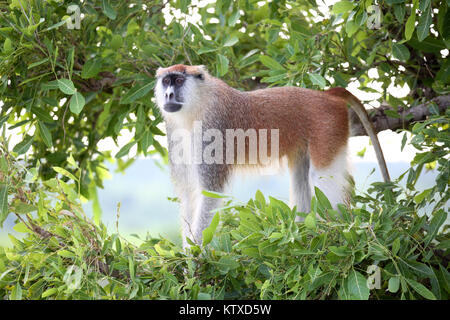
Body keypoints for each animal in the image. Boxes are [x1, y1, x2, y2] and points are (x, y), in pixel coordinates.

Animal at [153, 63, 388, 248]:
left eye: (179, 80)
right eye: (166, 81)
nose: (168, 94)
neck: (199, 103)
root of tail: (326, 95)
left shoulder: (212, 130)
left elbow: (210, 193)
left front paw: (195, 258)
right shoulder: (176, 132)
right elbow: (187, 192)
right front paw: (186, 253)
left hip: (328, 126)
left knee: (322, 176)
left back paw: (334, 232)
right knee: (301, 176)